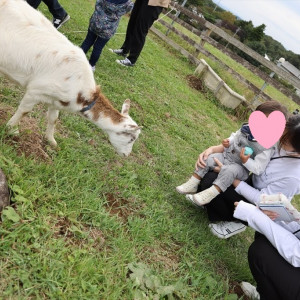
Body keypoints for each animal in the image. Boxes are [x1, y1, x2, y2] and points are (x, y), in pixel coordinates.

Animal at [0, 0, 141, 157]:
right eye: (131, 138)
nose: (126, 155)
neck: (81, 92)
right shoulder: (36, 90)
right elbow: (24, 111)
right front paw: (11, 129)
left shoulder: (55, 100)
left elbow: (53, 119)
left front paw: (52, 141)